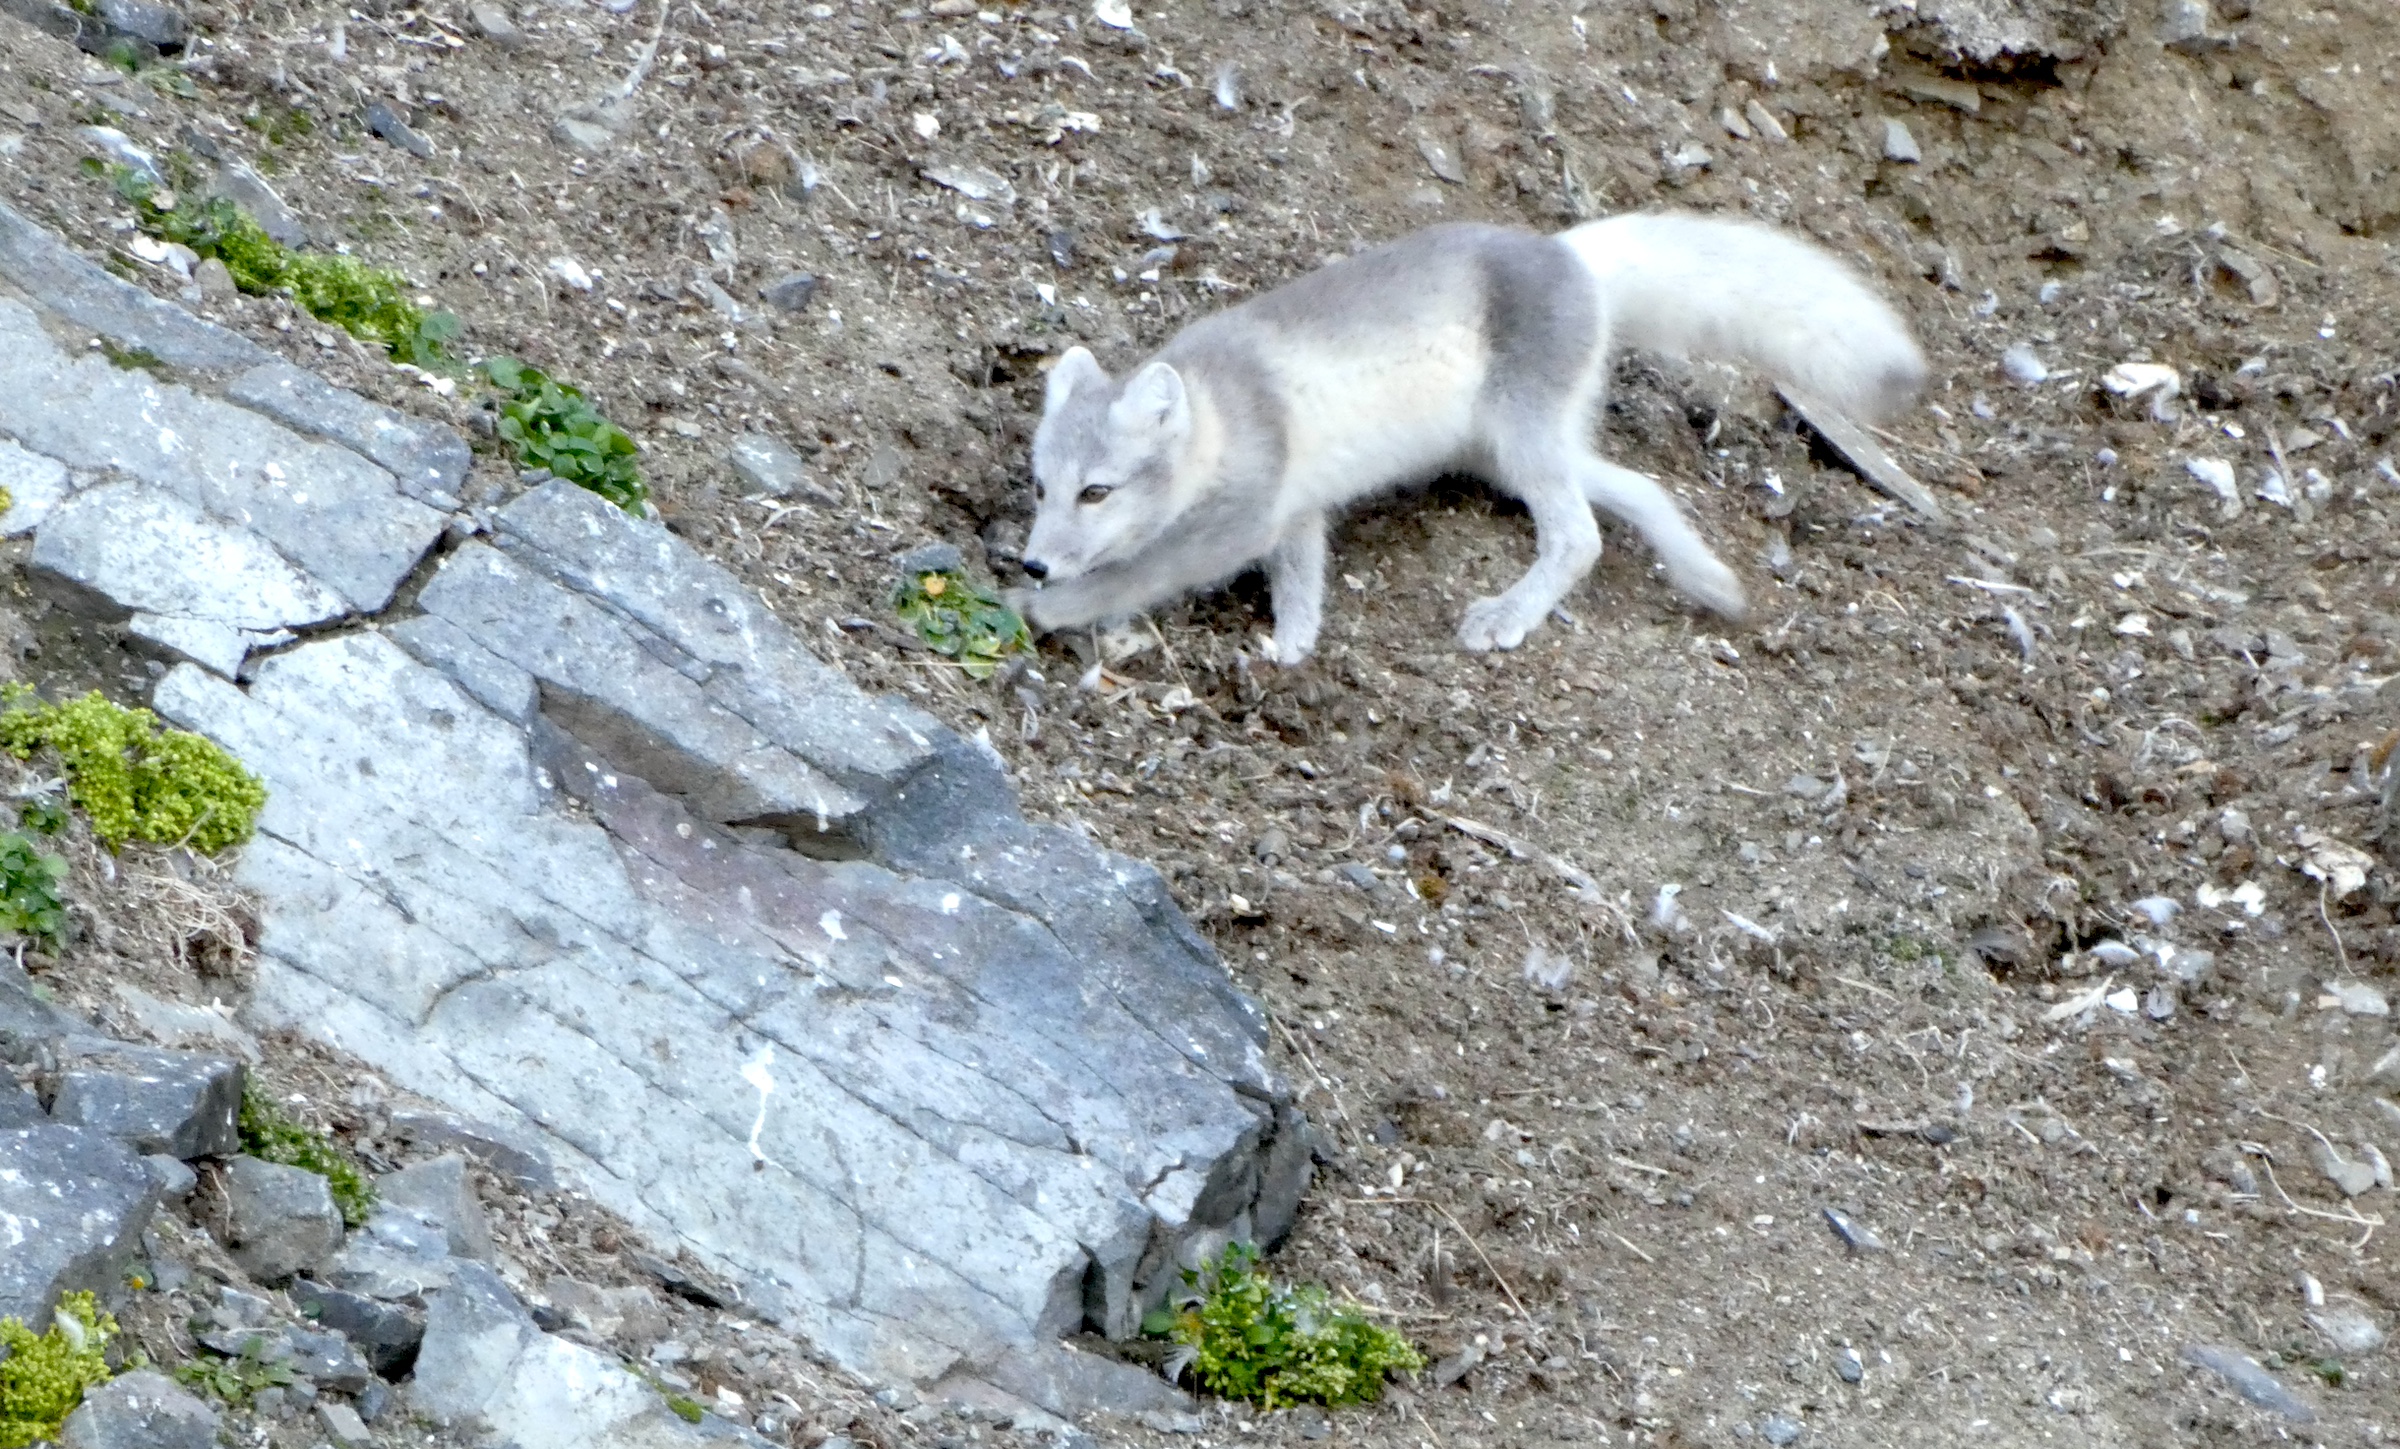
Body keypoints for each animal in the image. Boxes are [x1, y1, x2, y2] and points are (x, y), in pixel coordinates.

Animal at [1011, 211, 1927, 665]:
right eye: (1040, 486)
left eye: (1097, 491)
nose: (1033, 561)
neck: (1221, 406)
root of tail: (1569, 251)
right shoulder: (1296, 509)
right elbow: (1302, 579)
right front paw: (1294, 645)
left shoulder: (1242, 518)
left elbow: (1142, 570)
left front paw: (1048, 608)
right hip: (1517, 449)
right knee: (1640, 489)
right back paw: (1708, 580)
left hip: (1522, 438)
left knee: (1582, 535)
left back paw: (1507, 615)